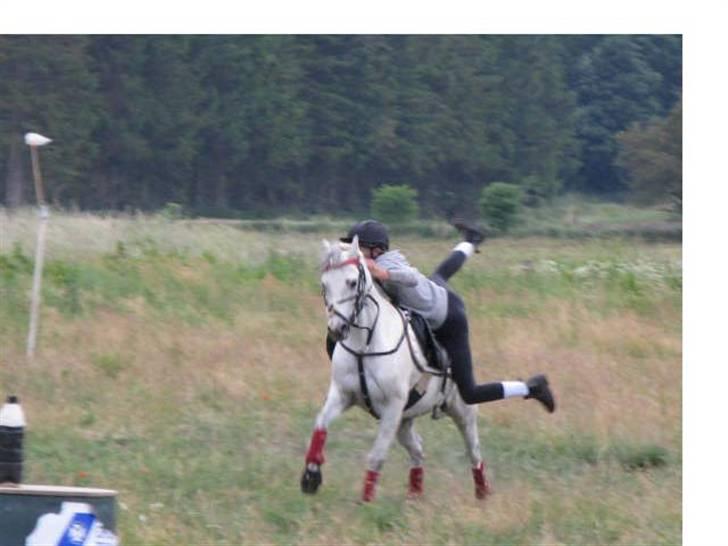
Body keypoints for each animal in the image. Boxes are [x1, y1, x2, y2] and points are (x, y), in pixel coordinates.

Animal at [300, 235, 491, 502]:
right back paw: (414, 495)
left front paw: (366, 502)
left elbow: (376, 457)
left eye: (352, 282)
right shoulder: (342, 394)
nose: (337, 329)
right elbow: (320, 426)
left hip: (461, 407)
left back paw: (482, 492)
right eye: (324, 285)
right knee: (418, 449)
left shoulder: (392, 407)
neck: (365, 345)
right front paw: (311, 475)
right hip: (405, 420)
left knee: (473, 450)